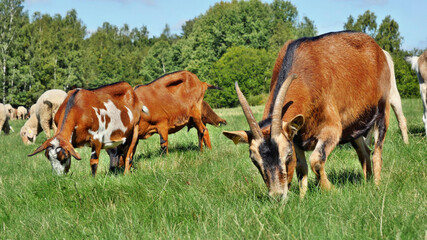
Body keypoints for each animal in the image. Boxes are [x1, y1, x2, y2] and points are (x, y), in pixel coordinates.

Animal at [224, 32, 392, 201]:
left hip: (383, 109)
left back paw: (376, 186)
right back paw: (367, 181)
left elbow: (316, 160)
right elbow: (301, 167)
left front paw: (332, 190)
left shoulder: (331, 128)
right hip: (354, 128)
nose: (277, 196)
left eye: (288, 155)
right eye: (254, 160)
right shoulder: (296, 137)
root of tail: (377, 49)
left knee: (377, 151)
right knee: (364, 152)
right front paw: (302, 198)